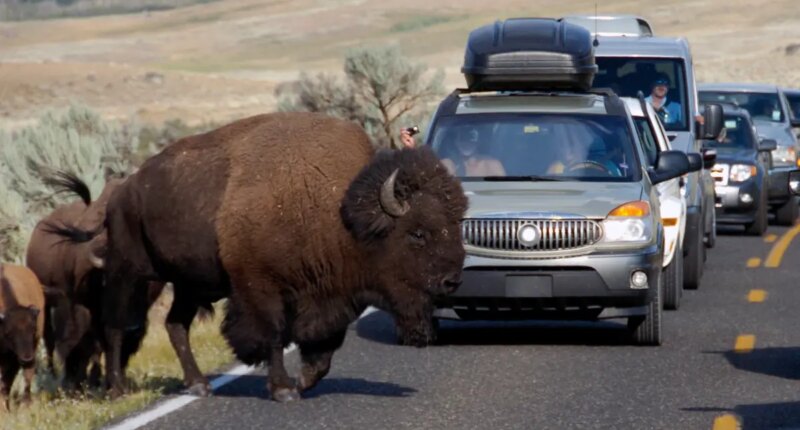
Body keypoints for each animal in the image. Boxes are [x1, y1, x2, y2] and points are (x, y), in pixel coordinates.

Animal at [0, 263, 45, 411]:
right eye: (8, 333)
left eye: (33, 329)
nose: (27, 358)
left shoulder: (13, 359)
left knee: (27, 376)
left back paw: (26, 404)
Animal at [49, 112, 468, 401]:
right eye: (417, 233)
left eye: (456, 223)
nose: (452, 280)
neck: (339, 211)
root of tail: (121, 192)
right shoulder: (260, 289)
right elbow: (274, 335)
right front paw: (283, 389)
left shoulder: (329, 297)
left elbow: (324, 347)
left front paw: (303, 381)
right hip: (129, 272)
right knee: (116, 326)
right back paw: (117, 389)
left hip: (188, 284)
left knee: (175, 325)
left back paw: (199, 385)